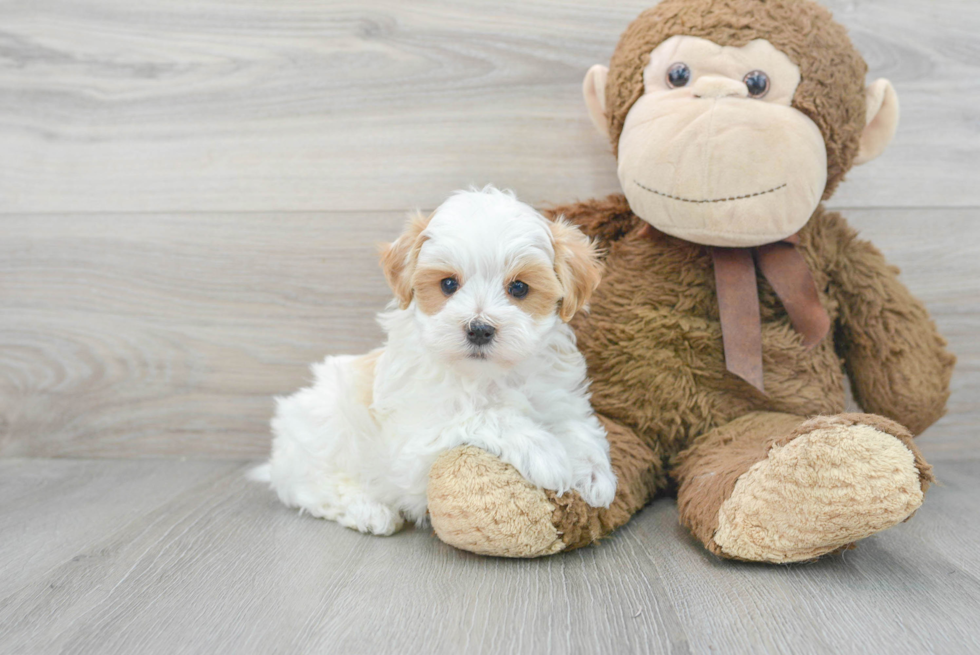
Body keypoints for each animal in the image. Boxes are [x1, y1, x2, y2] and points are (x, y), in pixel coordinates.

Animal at [256, 187, 616, 536]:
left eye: (518, 287)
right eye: (448, 284)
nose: (479, 329)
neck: (488, 376)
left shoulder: (557, 398)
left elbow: (578, 426)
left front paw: (595, 475)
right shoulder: (415, 443)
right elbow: (485, 414)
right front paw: (546, 453)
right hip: (326, 431)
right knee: (308, 488)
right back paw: (369, 511)